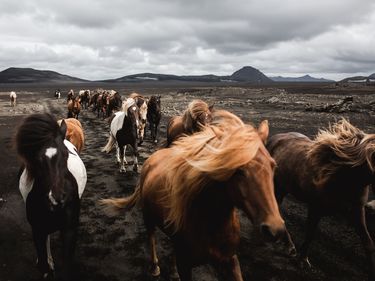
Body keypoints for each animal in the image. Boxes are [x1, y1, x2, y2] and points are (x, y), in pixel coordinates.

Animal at [16, 112, 86, 278]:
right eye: (36, 159)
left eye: (66, 154)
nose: (58, 198)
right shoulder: (38, 229)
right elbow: (43, 265)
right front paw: (47, 264)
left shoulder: (69, 230)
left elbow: (67, 265)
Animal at [100, 110, 296, 280]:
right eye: (238, 171)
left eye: (273, 165)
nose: (275, 228)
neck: (211, 223)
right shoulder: (186, 265)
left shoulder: (230, 260)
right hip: (148, 217)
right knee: (151, 239)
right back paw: (155, 267)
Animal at [268, 117, 375, 278]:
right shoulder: (315, 208)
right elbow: (310, 234)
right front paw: (302, 259)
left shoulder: (357, 210)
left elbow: (367, 242)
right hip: (278, 189)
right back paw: (289, 246)